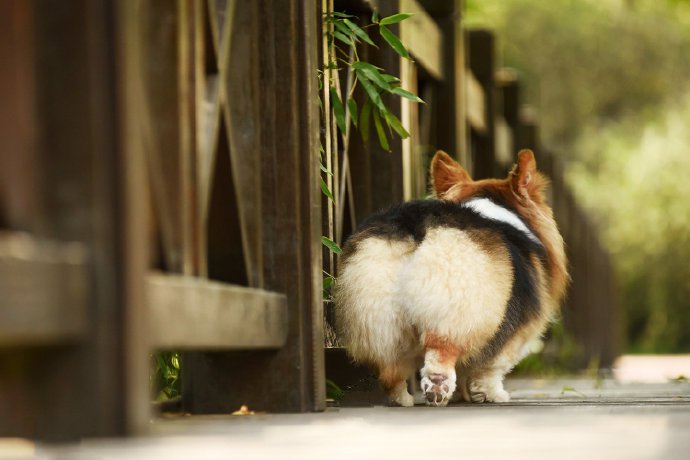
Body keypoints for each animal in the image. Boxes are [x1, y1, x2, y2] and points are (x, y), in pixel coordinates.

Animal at [332, 149, 564, 404]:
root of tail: (416, 223)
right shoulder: (514, 332)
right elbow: (491, 369)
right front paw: (494, 395)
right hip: (454, 312)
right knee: (440, 355)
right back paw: (438, 389)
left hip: (377, 313)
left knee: (391, 371)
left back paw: (403, 400)